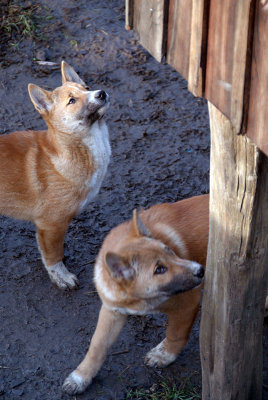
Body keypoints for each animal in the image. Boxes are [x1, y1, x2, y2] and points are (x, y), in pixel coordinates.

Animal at [0, 61, 110, 288]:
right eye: (72, 100)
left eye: (86, 88)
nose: (101, 93)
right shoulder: (51, 224)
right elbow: (53, 256)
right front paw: (61, 276)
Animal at [62, 194, 209, 394]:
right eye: (159, 269)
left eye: (170, 251)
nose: (200, 270)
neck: (136, 300)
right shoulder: (112, 311)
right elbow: (97, 346)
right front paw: (80, 377)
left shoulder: (188, 303)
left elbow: (175, 333)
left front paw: (163, 355)